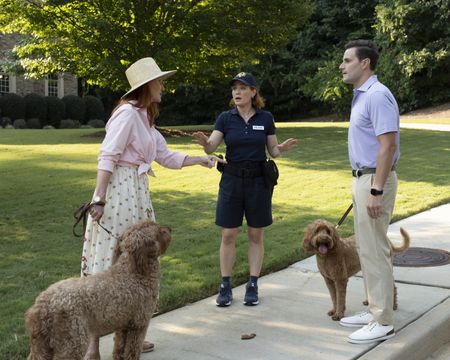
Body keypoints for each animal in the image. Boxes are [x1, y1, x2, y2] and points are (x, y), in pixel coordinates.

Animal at [25, 219, 171, 360]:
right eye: (159, 230)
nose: (169, 229)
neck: (133, 272)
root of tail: (41, 305)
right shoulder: (139, 324)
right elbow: (131, 351)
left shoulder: (122, 325)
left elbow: (119, 348)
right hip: (72, 341)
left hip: (43, 344)